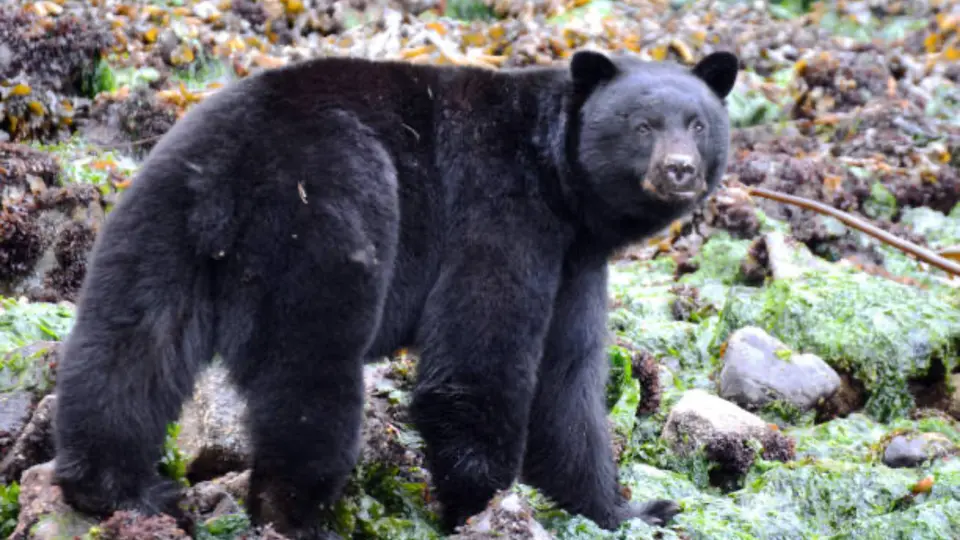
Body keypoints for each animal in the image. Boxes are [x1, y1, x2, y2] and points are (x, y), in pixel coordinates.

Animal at [51, 48, 738, 538]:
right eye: (641, 125)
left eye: (698, 123)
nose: (679, 170)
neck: (558, 181)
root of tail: (227, 174)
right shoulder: (501, 209)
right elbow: (477, 361)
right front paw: (485, 507)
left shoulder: (573, 259)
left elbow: (567, 380)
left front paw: (630, 510)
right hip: (331, 215)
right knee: (312, 377)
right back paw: (297, 517)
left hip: (154, 227)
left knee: (124, 352)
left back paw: (115, 490)